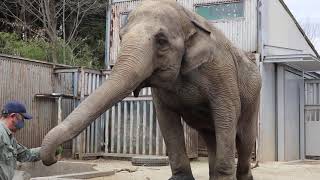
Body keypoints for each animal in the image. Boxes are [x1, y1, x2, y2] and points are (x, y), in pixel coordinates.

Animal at [40, 0, 262, 180]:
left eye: (162, 40)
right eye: (120, 37)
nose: (55, 156)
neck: (188, 18)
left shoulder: (221, 73)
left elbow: (226, 114)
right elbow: (167, 121)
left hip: (254, 100)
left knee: (244, 139)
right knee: (211, 137)